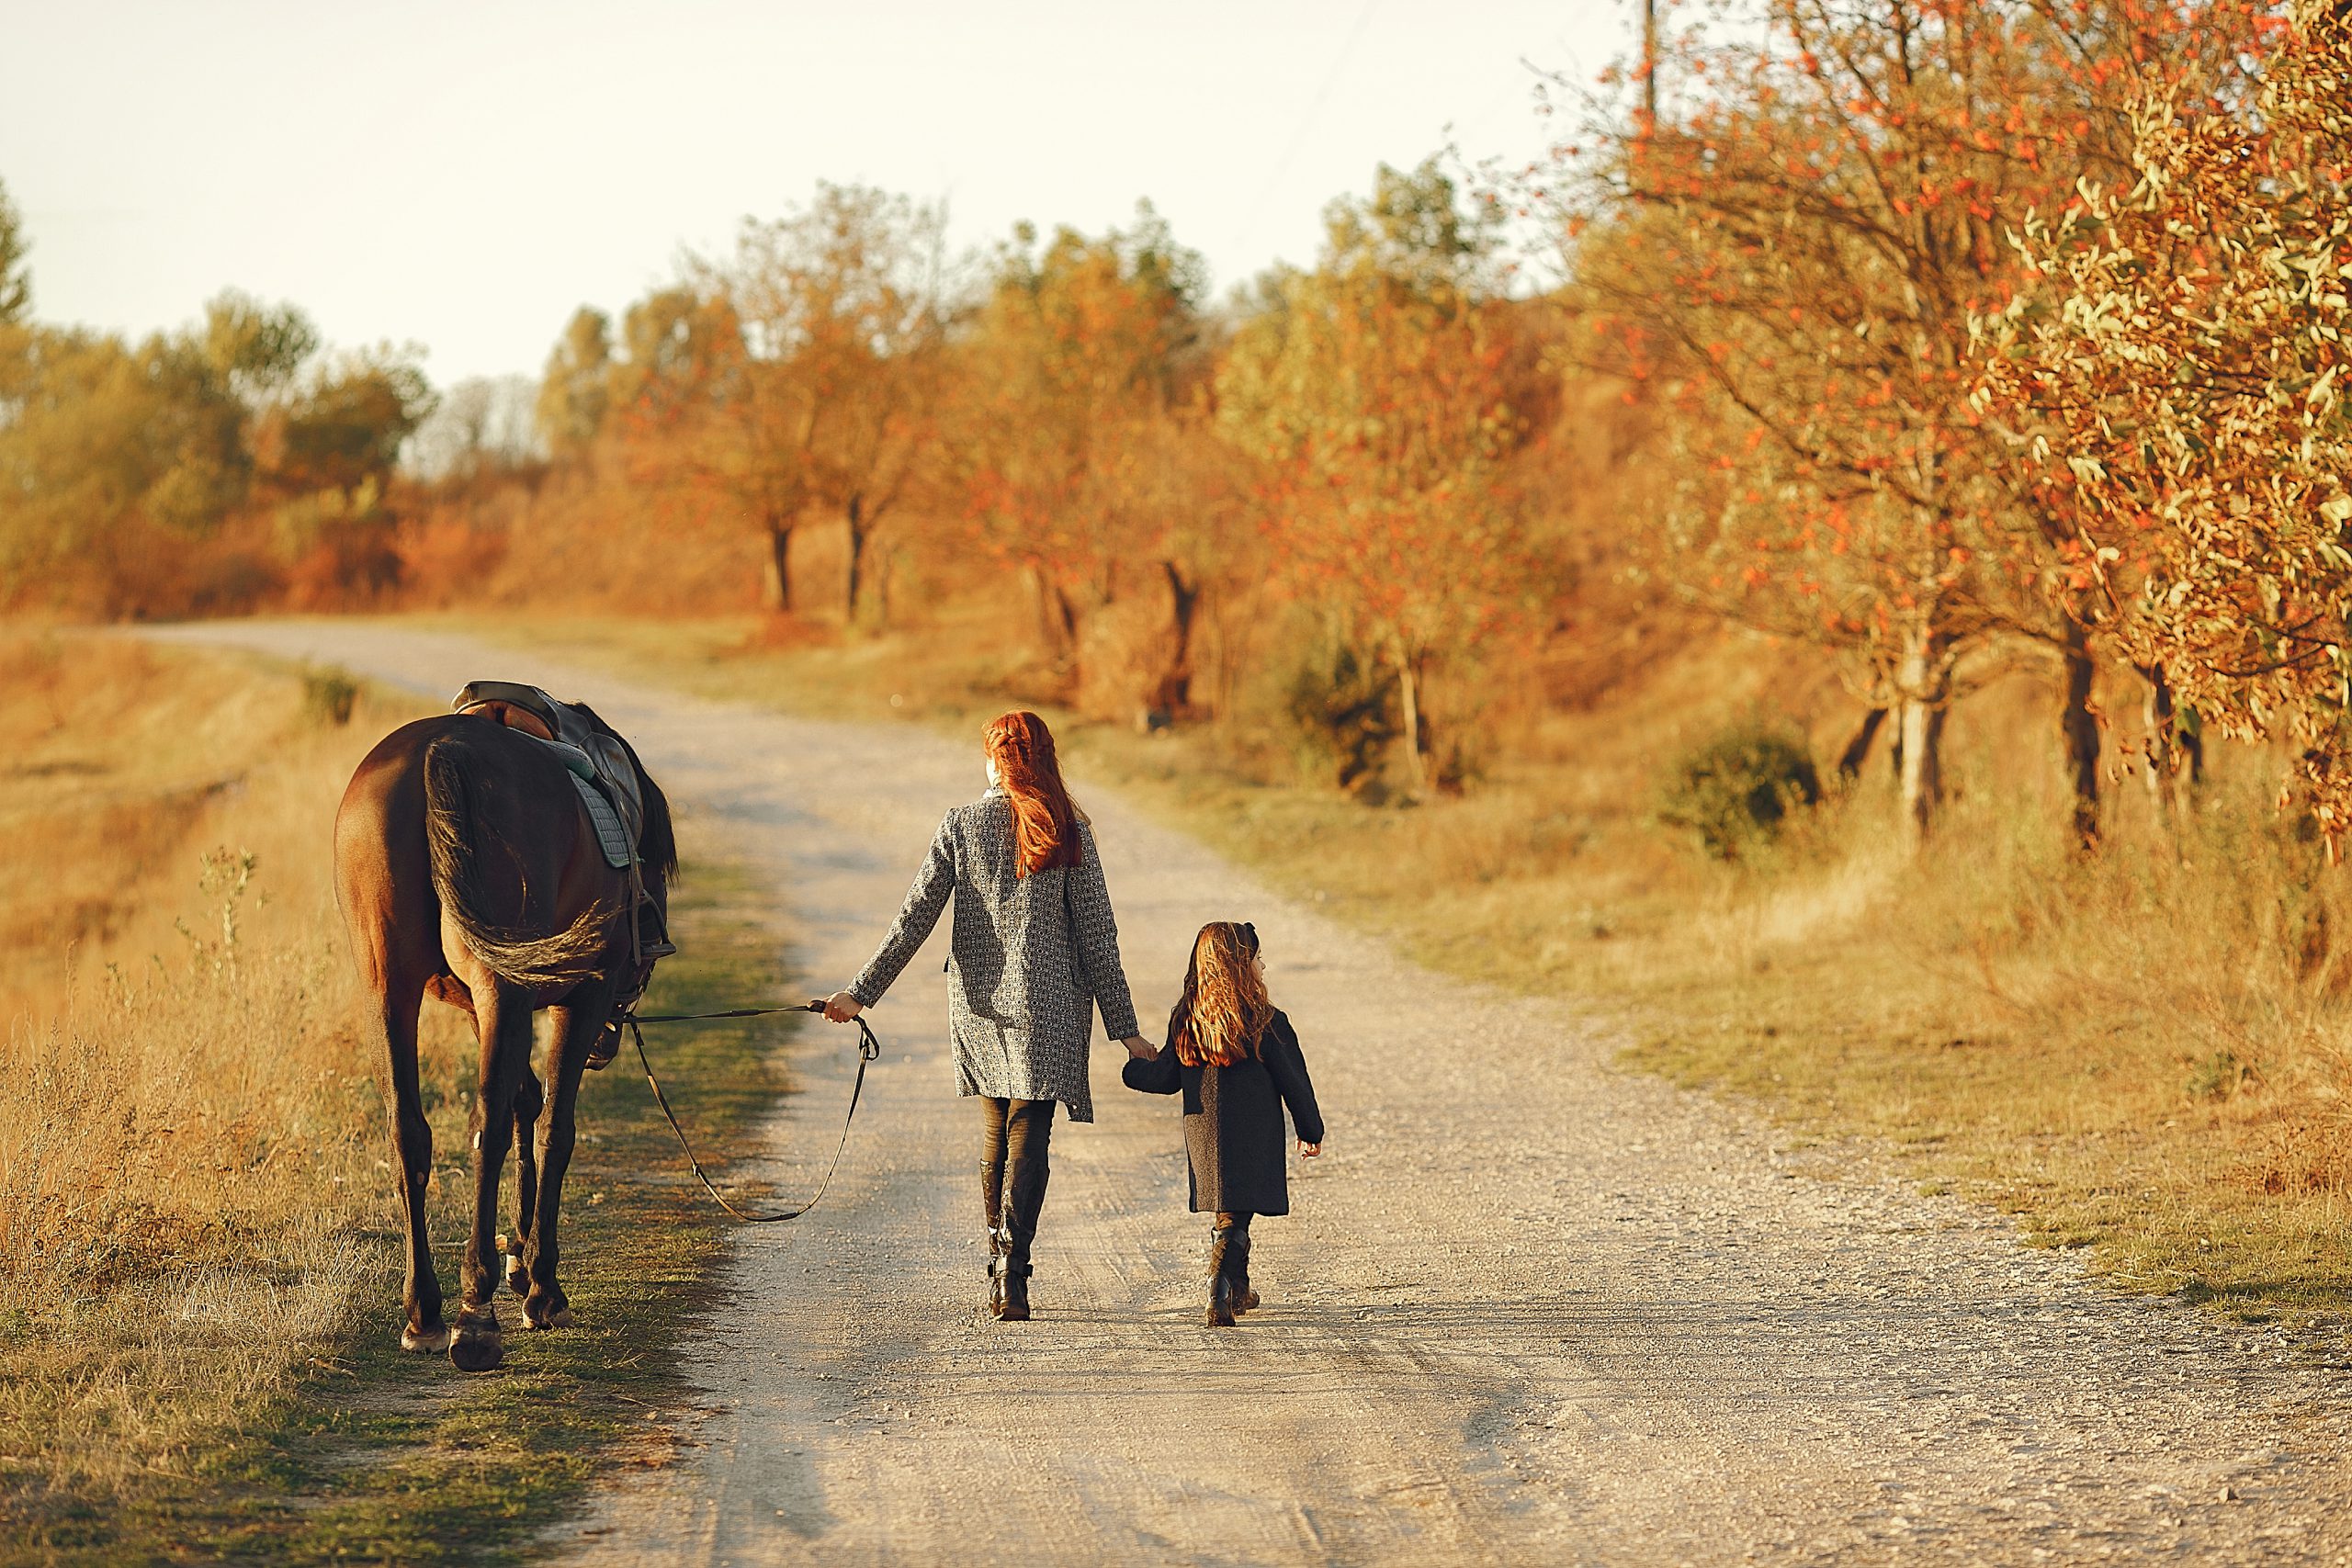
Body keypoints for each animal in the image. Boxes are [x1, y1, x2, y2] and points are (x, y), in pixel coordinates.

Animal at [326, 705, 673, 1363]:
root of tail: (439, 748)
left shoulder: (478, 1005)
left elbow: (523, 1101)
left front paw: (519, 1254)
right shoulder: (579, 999)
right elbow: (554, 1127)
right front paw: (541, 1284)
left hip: (391, 988)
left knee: (410, 1129)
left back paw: (425, 1309)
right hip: (501, 983)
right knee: (485, 1121)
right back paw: (476, 1311)